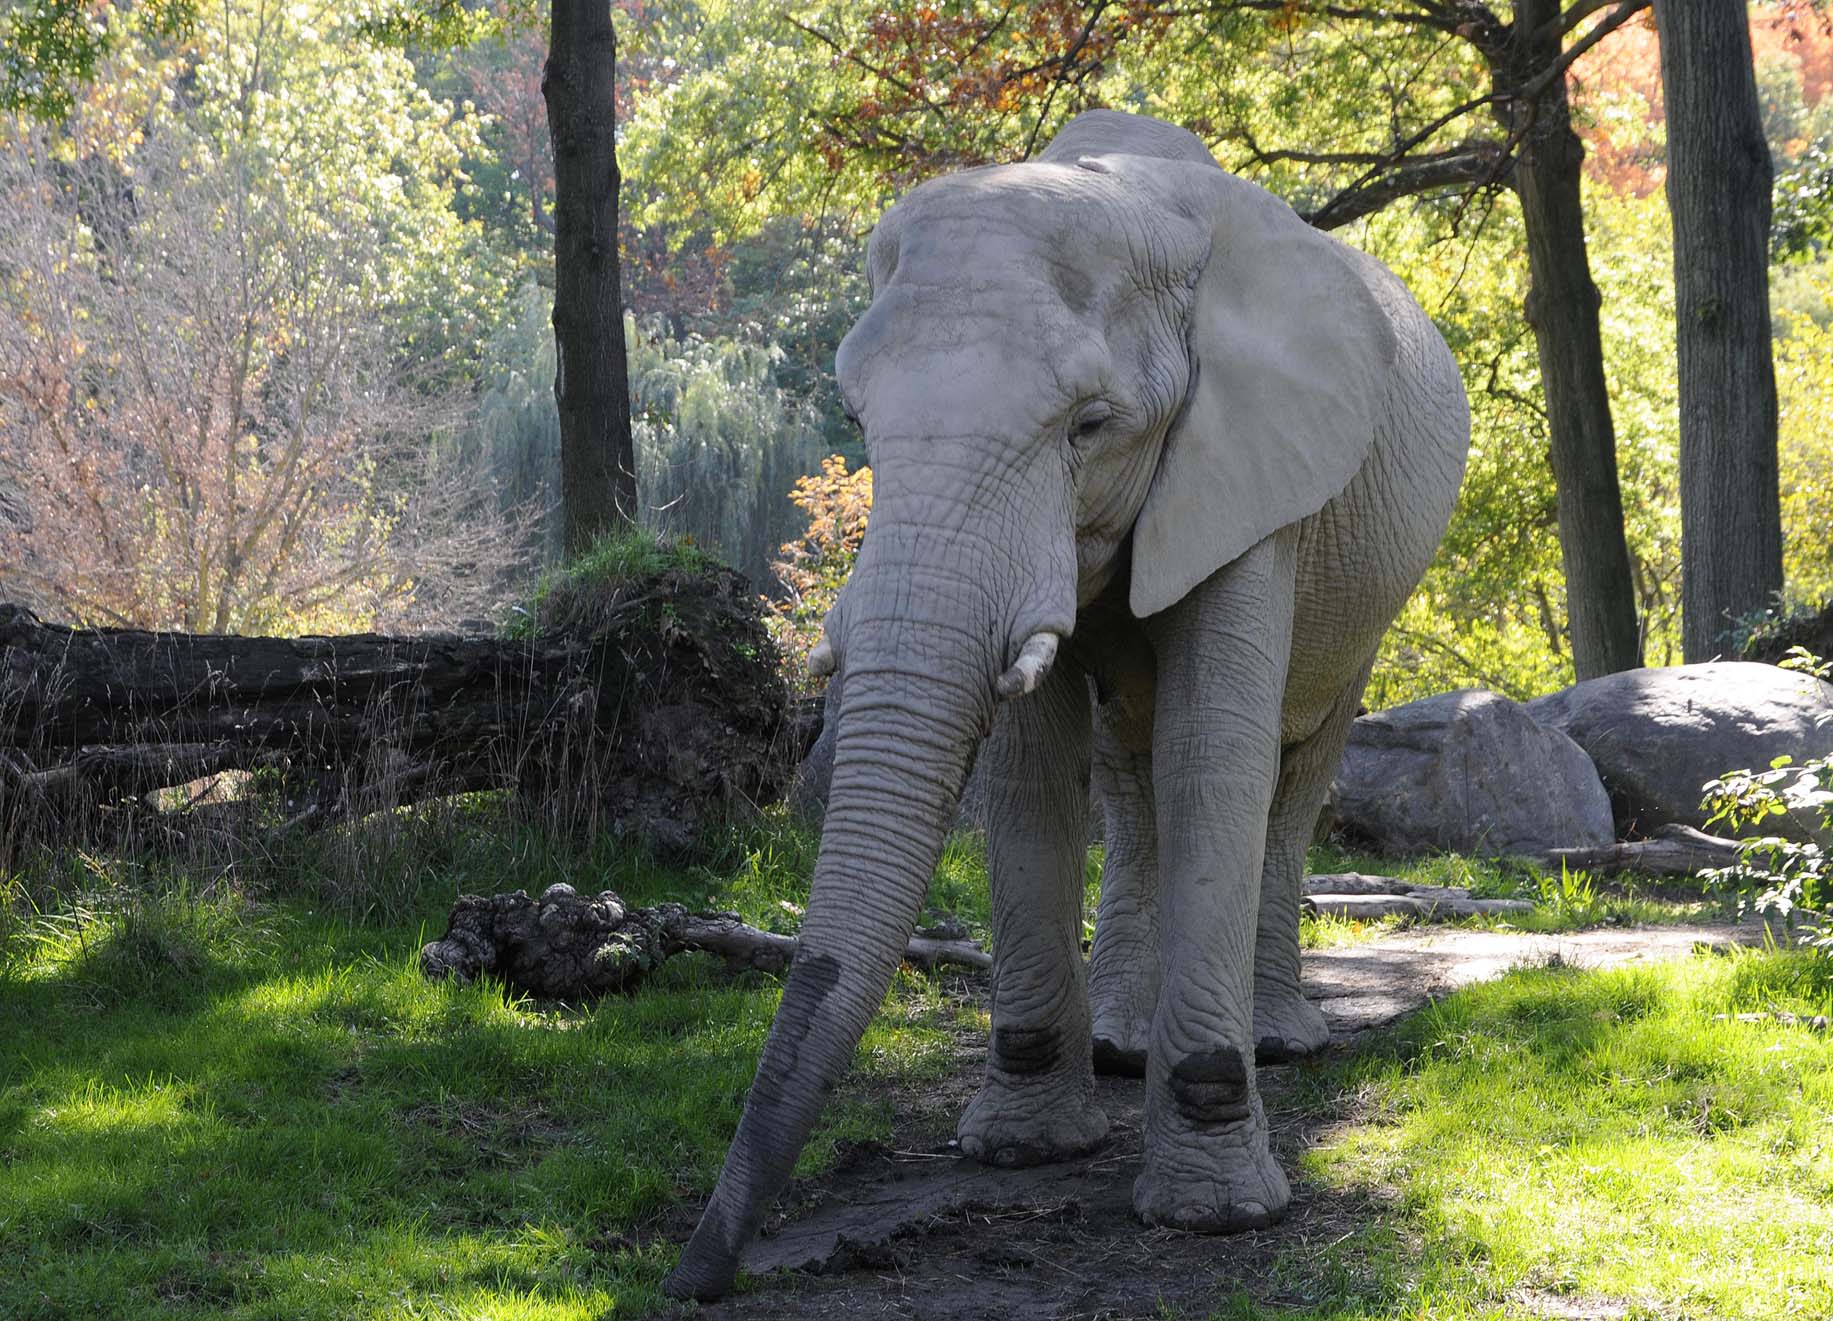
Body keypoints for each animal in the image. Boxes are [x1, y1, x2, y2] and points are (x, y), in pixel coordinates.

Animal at [667, 110, 1466, 1297]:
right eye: (855, 413)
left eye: (1091, 424)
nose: (693, 1276)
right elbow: (1034, 771)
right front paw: (1020, 1150)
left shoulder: (1254, 470)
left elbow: (1216, 751)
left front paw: (1214, 1214)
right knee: (1130, 775)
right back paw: (1123, 1045)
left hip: (1372, 584)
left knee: (1293, 768)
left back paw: (1280, 1039)